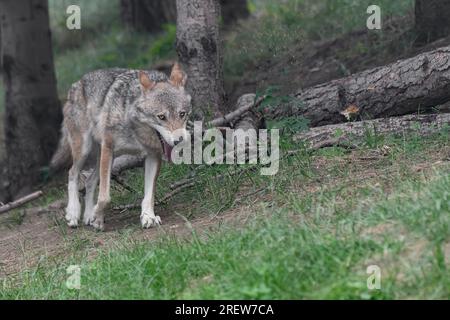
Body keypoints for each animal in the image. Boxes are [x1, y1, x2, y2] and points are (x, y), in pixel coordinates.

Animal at [51, 63, 192, 231]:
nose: (180, 141)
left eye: (182, 114)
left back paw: (88, 214)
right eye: (161, 117)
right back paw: (73, 213)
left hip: (104, 158)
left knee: (89, 181)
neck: (136, 130)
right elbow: (105, 197)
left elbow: (149, 195)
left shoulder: (153, 156)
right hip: (85, 151)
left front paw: (148, 216)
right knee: (72, 173)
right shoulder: (108, 148)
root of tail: (77, 83)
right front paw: (97, 218)